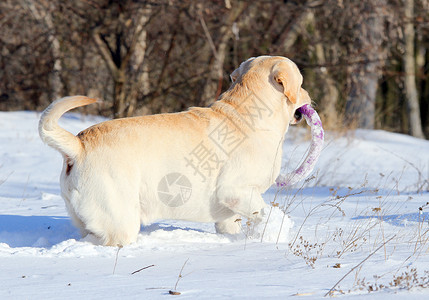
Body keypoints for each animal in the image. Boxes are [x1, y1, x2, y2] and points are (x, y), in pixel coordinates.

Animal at [38, 56, 310, 246]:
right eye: (301, 83)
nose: (309, 96)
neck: (247, 113)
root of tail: (78, 145)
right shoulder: (235, 191)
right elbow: (263, 211)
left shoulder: (228, 211)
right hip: (120, 219)